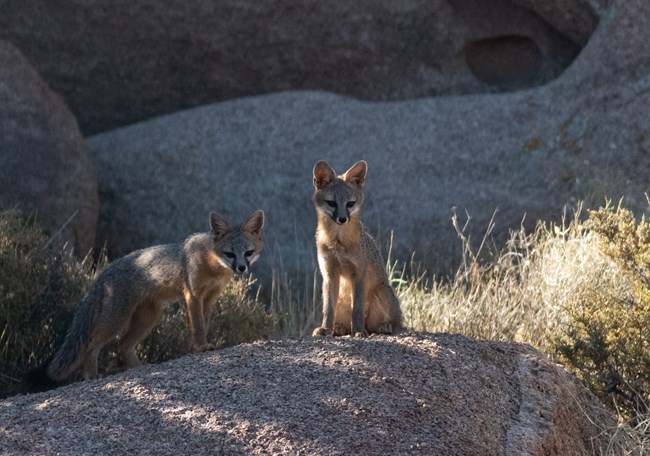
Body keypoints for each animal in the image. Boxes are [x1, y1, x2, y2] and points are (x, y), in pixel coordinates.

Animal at [24, 208, 264, 390]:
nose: (241, 268)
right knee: (91, 345)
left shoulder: (210, 297)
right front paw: (201, 347)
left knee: (123, 344)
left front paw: (202, 345)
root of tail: (104, 272)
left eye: (248, 253)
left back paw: (139, 368)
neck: (213, 265)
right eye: (230, 254)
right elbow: (197, 326)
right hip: (116, 321)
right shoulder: (193, 294)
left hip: (148, 319)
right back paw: (91, 374)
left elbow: (204, 323)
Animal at [308, 159, 400, 336]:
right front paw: (325, 328)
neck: (338, 242)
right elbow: (328, 309)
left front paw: (357, 330)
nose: (342, 219)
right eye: (332, 203)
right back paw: (338, 328)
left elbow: (356, 309)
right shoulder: (329, 274)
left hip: (382, 293)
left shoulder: (358, 273)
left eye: (350, 203)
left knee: (387, 324)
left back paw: (383, 326)